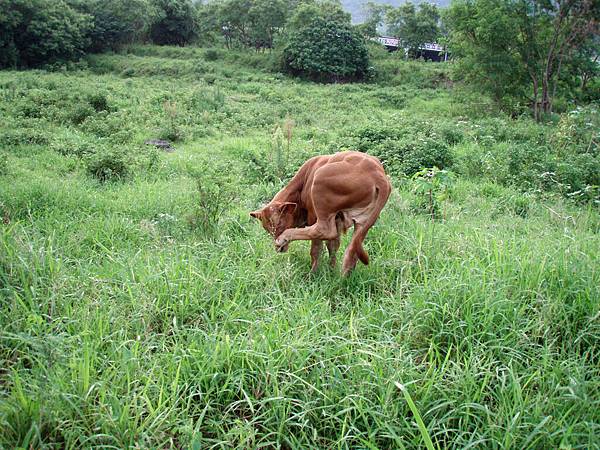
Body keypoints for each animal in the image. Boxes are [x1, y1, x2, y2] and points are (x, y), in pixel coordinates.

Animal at [251, 151, 392, 274]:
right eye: (268, 229)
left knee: (322, 231)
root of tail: (377, 173)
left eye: (279, 223)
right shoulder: (338, 219)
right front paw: (331, 269)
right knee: (351, 252)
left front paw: (314, 273)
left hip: (319, 182)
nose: (279, 248)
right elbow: (333, 245)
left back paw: (286, 238)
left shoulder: (314, 215)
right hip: (363, 223)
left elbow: (316, 248)